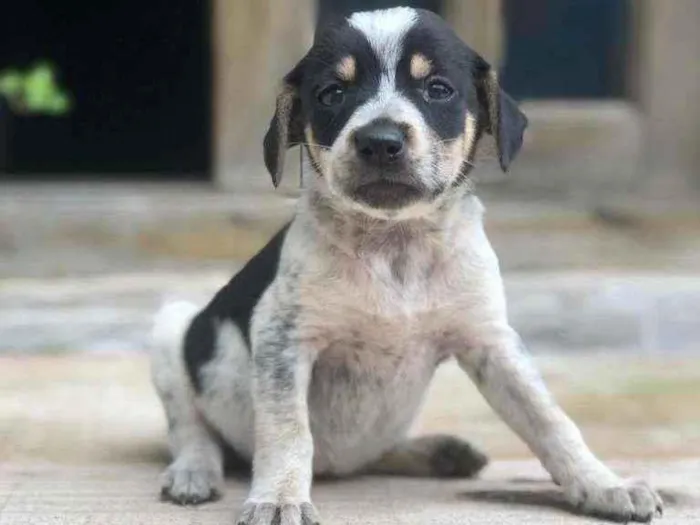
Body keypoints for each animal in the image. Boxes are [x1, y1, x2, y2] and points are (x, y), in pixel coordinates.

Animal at [150, 8, 664, 524]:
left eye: (438, 89)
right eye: (332, 94)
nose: (380, 142)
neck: (395, 245)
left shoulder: (491, 342)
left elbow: (550, 420)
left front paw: (605, 484)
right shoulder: (283, 338)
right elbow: (287, 431)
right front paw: (279, 498)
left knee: (379, 452)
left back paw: (439, 452)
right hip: (172, 329)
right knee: (192, 430)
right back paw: (194, 472)